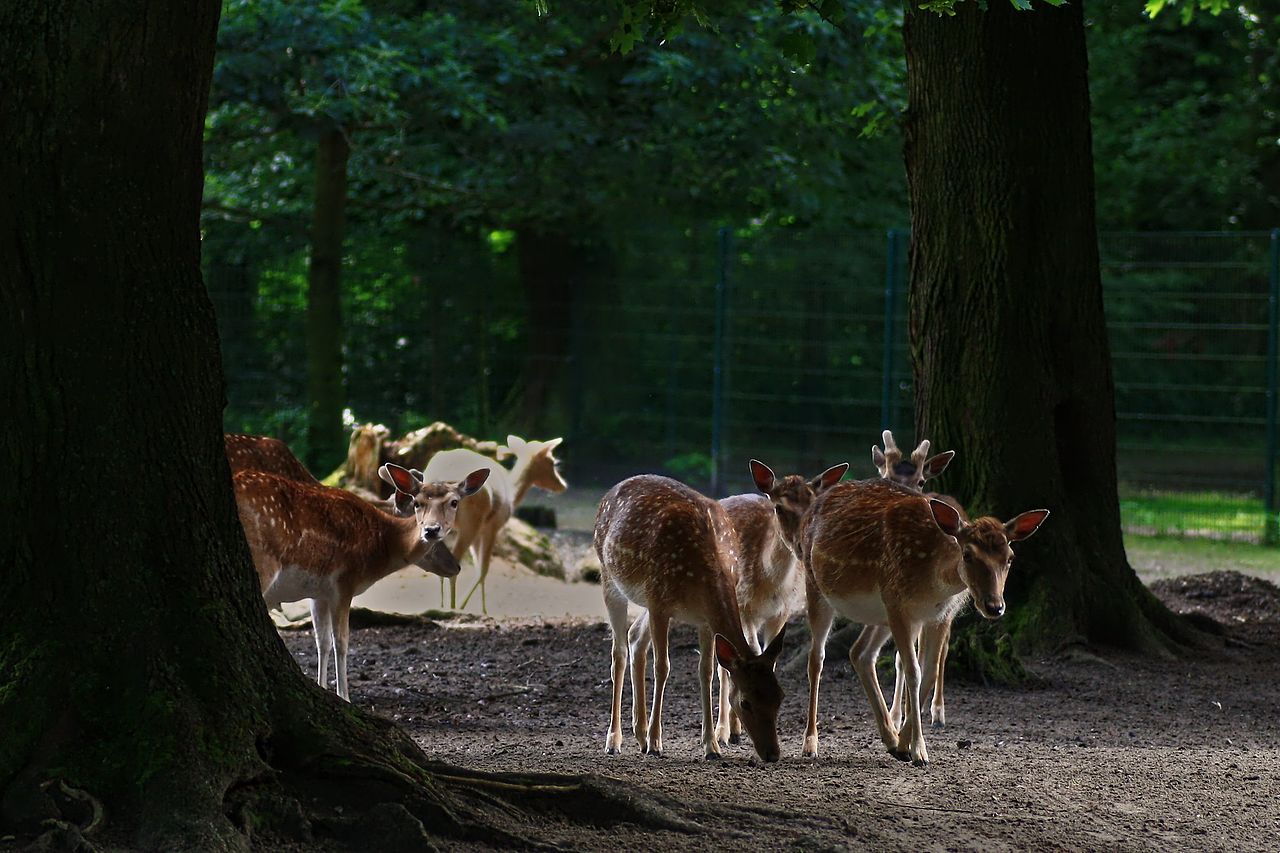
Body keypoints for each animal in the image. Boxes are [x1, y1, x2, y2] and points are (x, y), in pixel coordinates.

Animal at [232, 466, 486, 696]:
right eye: (417, 503)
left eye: (454, 502)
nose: (431, 531)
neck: (381, 547)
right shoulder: (344, 581)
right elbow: (341, 642)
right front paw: (344, 697)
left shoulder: (318, 592)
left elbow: (322, 641)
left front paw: (322, 688)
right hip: (263, 563)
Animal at [593, 473, 783, 758]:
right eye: (745, 702)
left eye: (779, 697)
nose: (772, 754)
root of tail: (607, 494)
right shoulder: (660, 604)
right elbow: (662, 667)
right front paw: (656, 742)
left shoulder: (704, 619)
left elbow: (705, 671)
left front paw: (711, 746)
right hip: (610, 579)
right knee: (619, 652)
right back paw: (615, 740)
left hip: (645, 598)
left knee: (635, 637)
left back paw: (639, 735)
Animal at [711, 458, 849, 742]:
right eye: (778, 507)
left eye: (813, 505)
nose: (802, 544)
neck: (769, 584)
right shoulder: (744, 607)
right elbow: (747, 653)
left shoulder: (781, 612)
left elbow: (767, 658)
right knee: (721, 664)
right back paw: (723, 730)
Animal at [798, 479, 1049, 763]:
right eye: (967, 554)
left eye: (1009, 557)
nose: (995, 606)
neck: (934, 583)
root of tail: (813, 505)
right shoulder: (898, 605)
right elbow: (913, 671)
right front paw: (919, 750)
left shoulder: (939, 616)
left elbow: (930, 671)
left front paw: (903, 745)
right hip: (816, 587)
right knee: (816, 659)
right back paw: (810, 744)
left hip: (879, 615)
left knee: (859, 653)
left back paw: (890, 737)